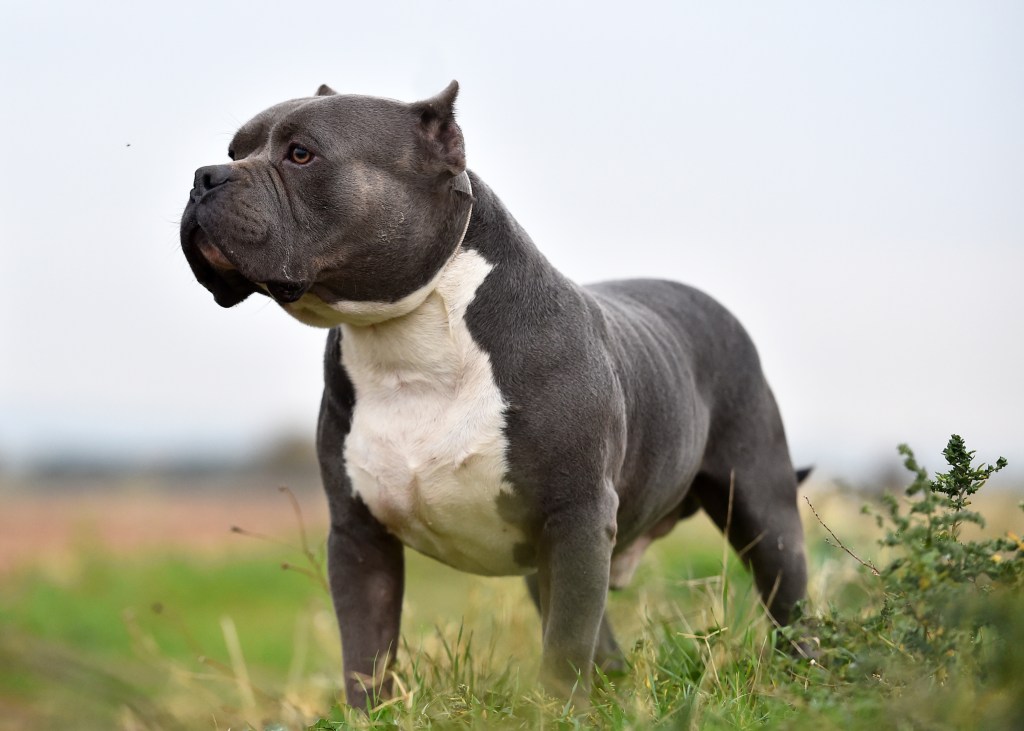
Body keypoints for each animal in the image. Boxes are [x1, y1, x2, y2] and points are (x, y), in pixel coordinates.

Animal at [182, 79, 806, 704]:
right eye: (235, 152)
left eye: (301, 154)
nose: (205, 175)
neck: (407, 342)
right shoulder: (360, 538)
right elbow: (366, 655)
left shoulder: (577, 516)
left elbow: (565, 645)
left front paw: (561, 712)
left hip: (762, 508)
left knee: (786, 601)